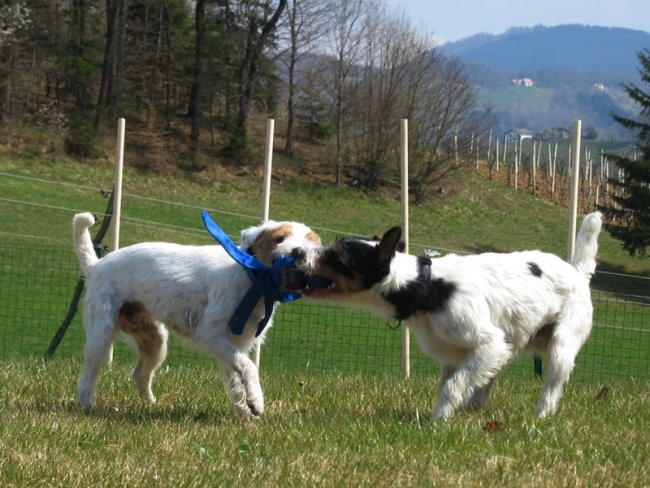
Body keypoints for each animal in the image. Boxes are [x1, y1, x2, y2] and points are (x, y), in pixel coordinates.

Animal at [72, 214, 320, 420]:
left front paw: (245, 414)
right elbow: (249, 367)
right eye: (279, 238)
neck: (252, 278)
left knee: (139, 375)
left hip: (154, 339)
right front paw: (257, 402)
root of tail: (96, 266)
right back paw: (86, 405)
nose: (298, 252)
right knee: (88, 375)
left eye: (311, 244)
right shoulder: (210, 333)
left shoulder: (235, 344)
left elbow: (236, 381)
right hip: (101, 335)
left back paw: (151, 404)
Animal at [296, 212, 600, 418]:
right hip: (507, 349)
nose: (298, 252)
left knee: (552, 385)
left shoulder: (488, 343)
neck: (425, 285)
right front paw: (446, 413)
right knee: (486, 382)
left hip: (560, 347)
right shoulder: (458, 356)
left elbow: (453, 386)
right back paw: (473, 410)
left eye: (337, 257)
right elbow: (452, 383)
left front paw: (438, 420)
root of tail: (577, 272)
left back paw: (541, 416)